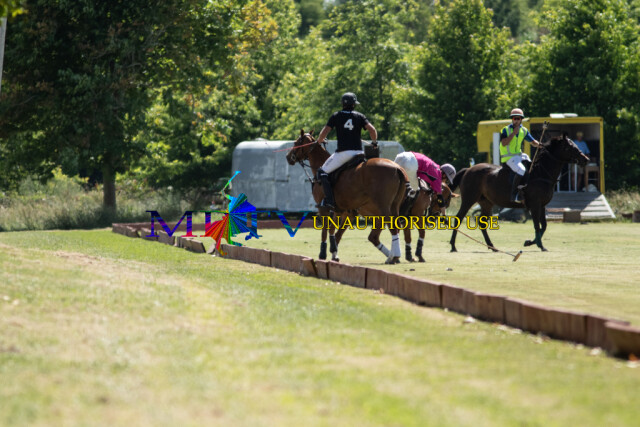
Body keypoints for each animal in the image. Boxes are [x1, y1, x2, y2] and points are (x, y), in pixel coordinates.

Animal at [286, 130, 409, 264]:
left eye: (296, 142)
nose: (288, 157)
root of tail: (397, 168)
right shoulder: (344, 211)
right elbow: (335, 232)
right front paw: (334, 254)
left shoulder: (323, 208)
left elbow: (325, 231)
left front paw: (323, 254)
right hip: (394, 205)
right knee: (388, 229)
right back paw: (392, 256)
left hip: (383, 206)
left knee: (391, 227)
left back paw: (394, 256)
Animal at [449, 134, 589, 252]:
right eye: (569, 147)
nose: (586, 159)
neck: (541, 173)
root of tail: (468, 169)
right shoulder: (534, 205)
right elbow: (537, 225)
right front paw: (540, 245)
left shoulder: (542, 205)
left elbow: (543, 226)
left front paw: (530, 242)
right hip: (469, 199)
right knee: (458, 218)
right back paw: (453, 246)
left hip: (486, 203)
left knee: (482, 224)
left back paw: (492, 246)